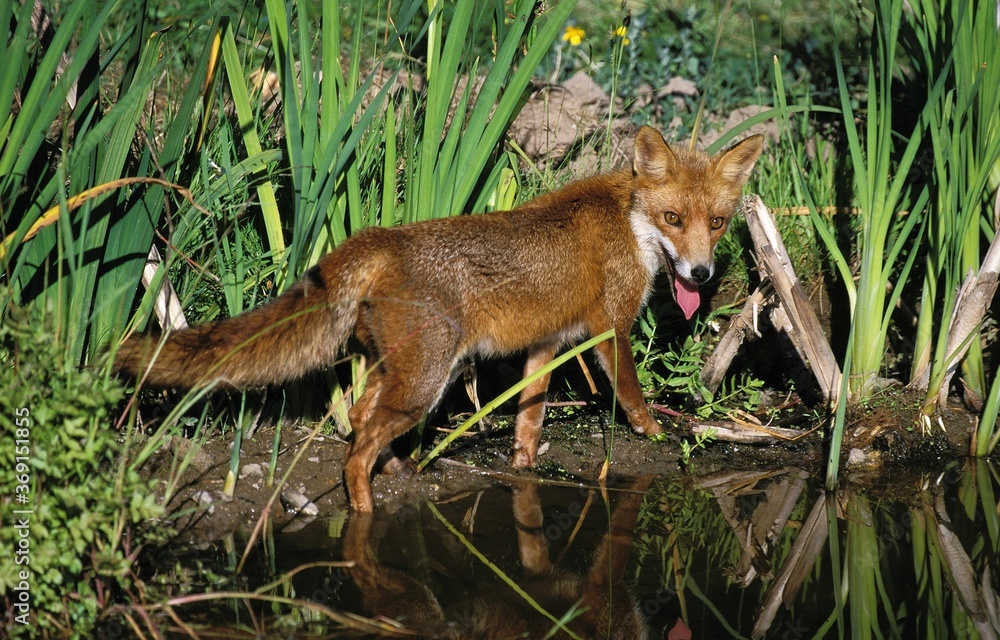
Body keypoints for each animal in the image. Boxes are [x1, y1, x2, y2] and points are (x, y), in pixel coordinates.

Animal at [115, 126, 763, 512]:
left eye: (718, 223)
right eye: (674, 218)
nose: (701, 274)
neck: (629, 220)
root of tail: (379, 237)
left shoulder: (547, 343)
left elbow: (529, 420)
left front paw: (523, 468)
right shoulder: (611, 330)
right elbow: (631, 393)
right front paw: (654, 433)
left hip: (403, 372)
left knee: (358, 419)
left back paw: (402, 469)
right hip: (427, 381)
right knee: (357, 447)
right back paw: (364, 509)